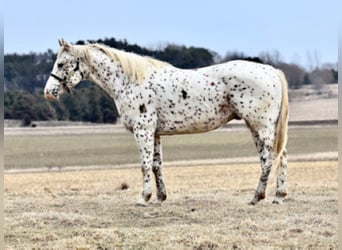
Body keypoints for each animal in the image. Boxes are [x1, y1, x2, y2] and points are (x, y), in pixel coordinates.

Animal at [43, 39, 288, 205]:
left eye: (62, 64)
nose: (48, 92)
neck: (129, 81)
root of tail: (271, 71)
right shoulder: (155, 133)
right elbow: (156, 165)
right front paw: (160, 197)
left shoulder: (143, 131)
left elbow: (144, 165)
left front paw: (143, 198)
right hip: (259, 127)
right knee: (280, 157)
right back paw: (279, 195)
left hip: (261, 127)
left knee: (269, 160)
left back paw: (257, 196)